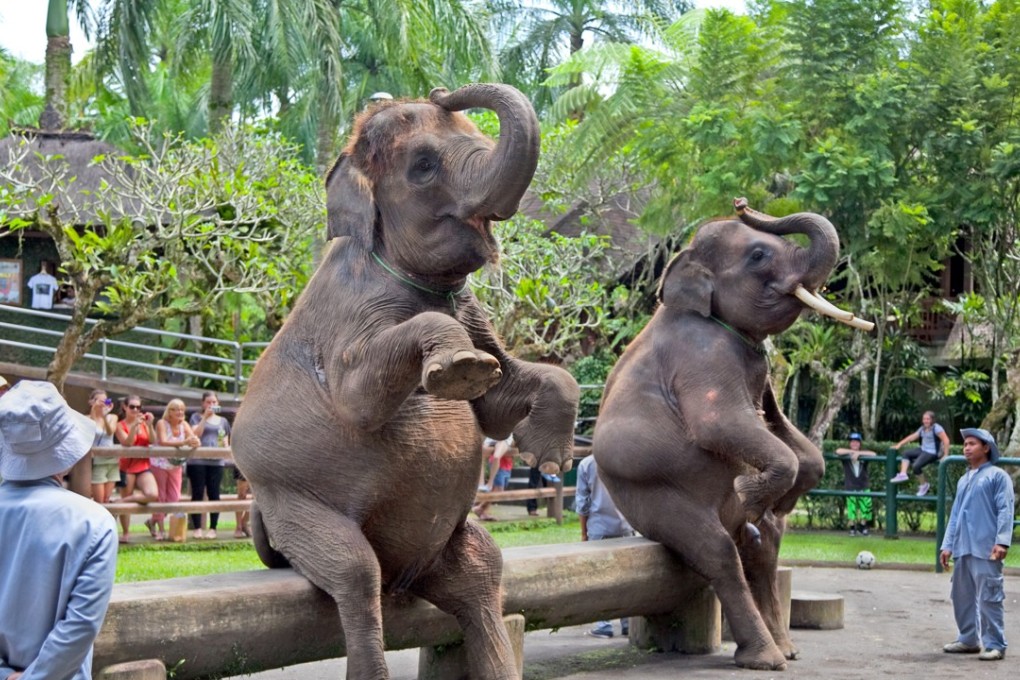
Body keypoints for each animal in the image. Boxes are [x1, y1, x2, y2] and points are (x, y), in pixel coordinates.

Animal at [231, 83, 579, 680]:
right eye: (422, 166)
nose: (442, 89)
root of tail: (405, 579)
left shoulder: (474, 312)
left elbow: (503, 399)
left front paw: (548, 457)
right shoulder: (348, 312)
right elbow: (358, 401)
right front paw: (459, 369)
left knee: (484, 574)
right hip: (291, 502)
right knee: (354, 572)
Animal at [592, 199, 871, 671]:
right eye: (758, 255)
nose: (741, 204)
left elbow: (786, 433)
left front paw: (777, 493)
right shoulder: (702, 354)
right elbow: (718, 423)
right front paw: (751, 491)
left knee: (764, 547)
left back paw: (787, 647)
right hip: (656, 499)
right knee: (718, 552)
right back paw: (766, 658)